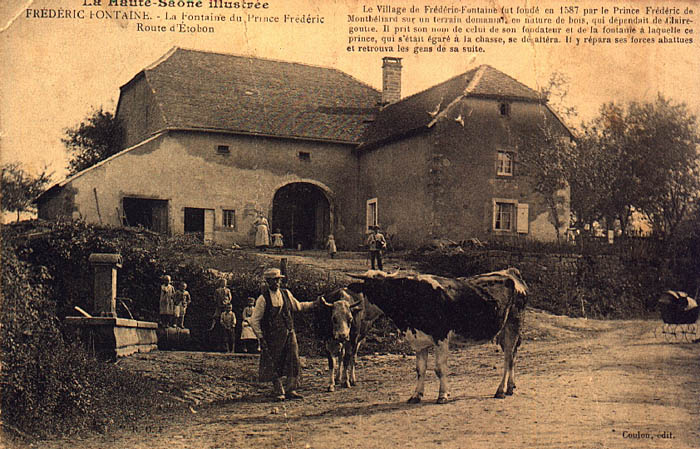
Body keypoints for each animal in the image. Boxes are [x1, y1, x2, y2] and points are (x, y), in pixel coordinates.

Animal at [348, 266, 528, 402]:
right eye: (368, 288)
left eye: (381, 287)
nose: (362, 313)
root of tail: (510, 272)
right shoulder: (419, 340)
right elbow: (420, 369)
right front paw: (416, 395)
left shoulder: (441, 337)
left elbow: (440, 368)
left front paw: (443, 395)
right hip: (504, 330)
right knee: (512, 356)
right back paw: (510, 387)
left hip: (513, 324)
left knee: (508, 358)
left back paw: (501, 390)